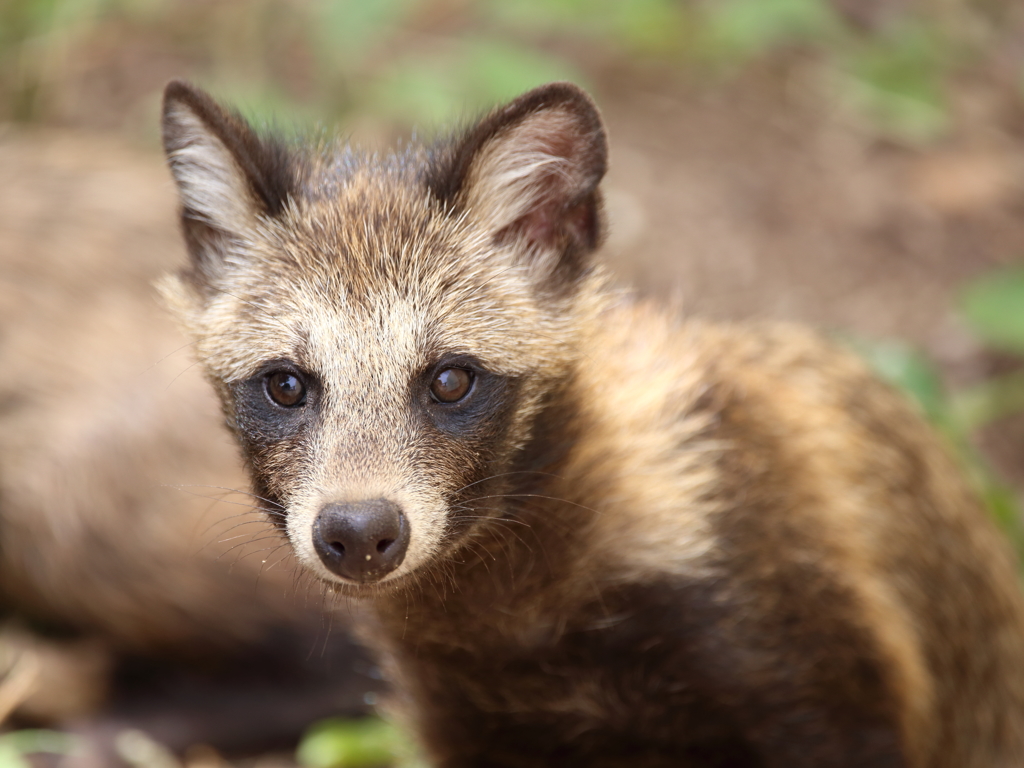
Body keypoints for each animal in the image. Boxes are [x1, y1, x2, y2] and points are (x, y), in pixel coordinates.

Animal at [157, 81, 1024, 765]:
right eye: (285, 385)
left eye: (450, 378)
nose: (359, 532)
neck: (521, 614)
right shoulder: (466, 719)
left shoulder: (809, 658)